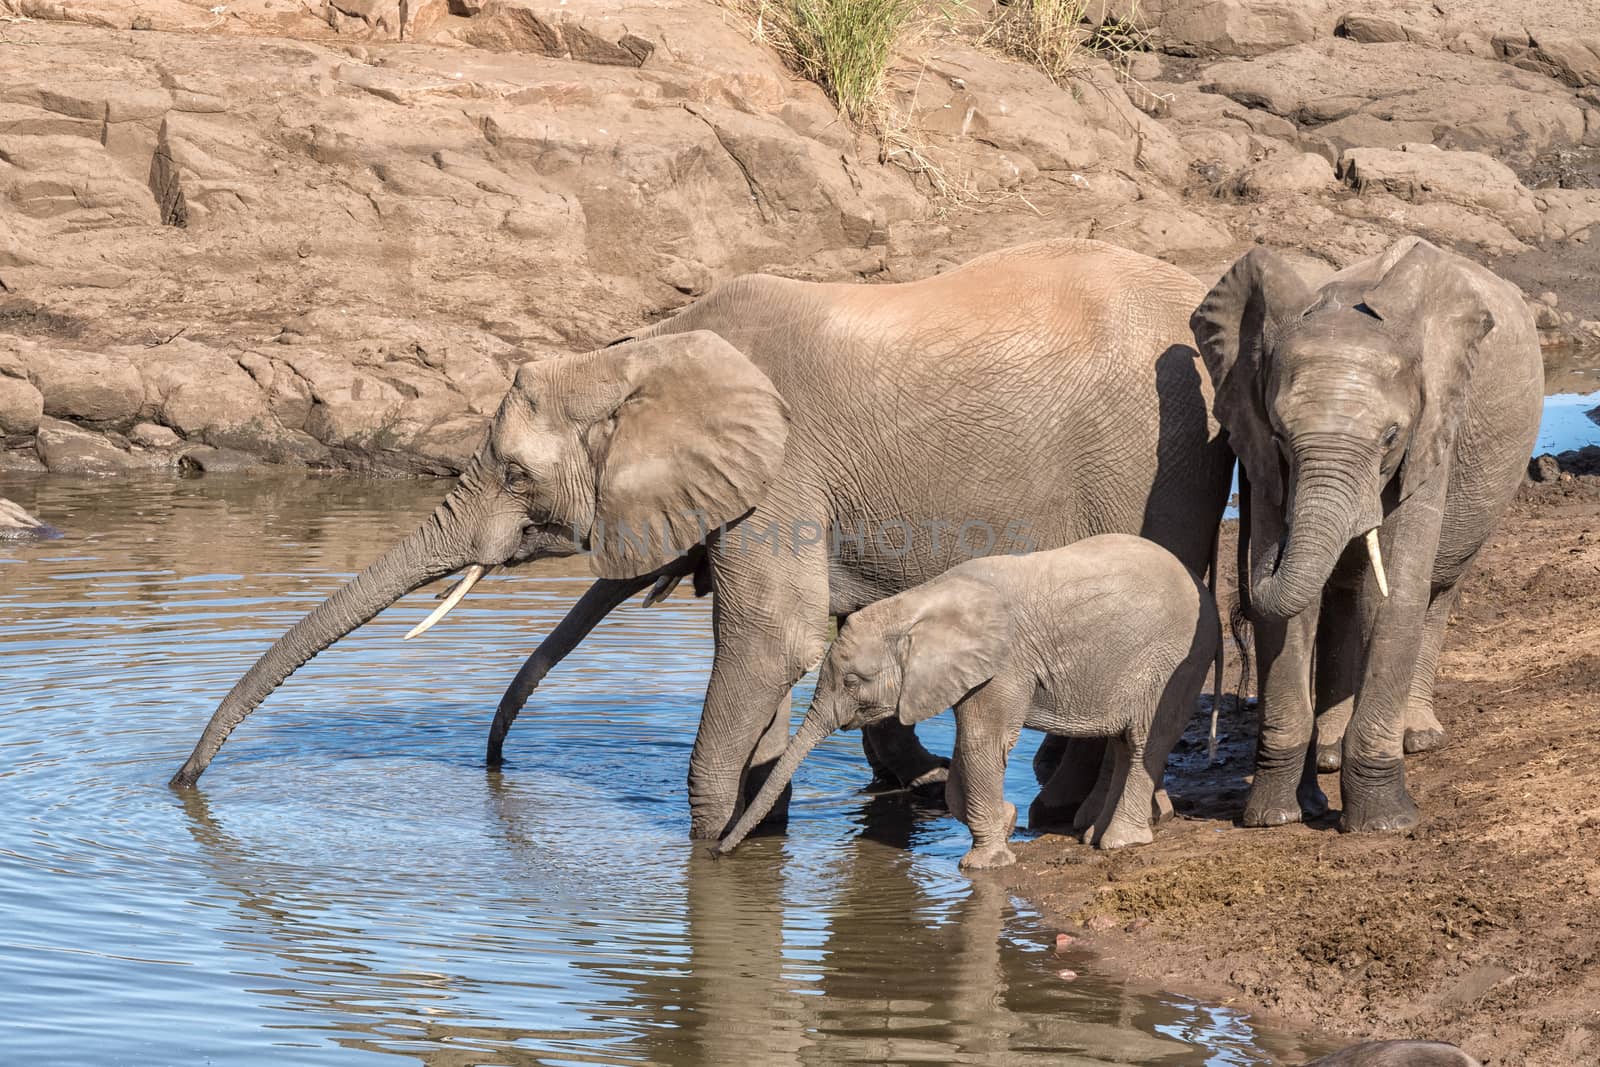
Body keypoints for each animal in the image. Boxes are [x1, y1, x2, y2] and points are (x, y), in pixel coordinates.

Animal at [713, 534, 1209, 870]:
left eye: (854, 681)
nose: (718, 850)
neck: (918, 604)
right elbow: (965, 750)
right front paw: (1006, 821)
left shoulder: (1006, 664)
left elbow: (980, 745)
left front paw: (984, 864)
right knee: (1125, 745)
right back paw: (1093, 835)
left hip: (1173, 664)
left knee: (1144, 741)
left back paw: (1119, 842)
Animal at [1196, 238, 1542, 831]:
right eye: (1280, 435)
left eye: (1390, 437)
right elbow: (1291, 614)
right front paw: (1273, 817)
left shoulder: (1434, 430)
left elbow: (1396, 592)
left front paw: (1385, 823)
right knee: (1339, 596)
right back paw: (1328, 754)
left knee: (1436, 590)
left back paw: (1418, 737)